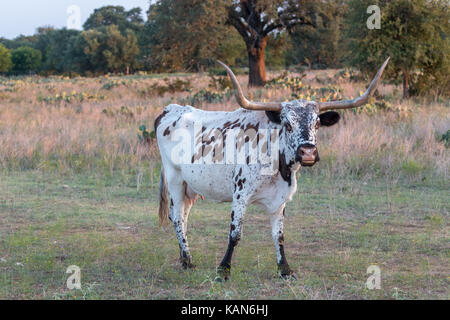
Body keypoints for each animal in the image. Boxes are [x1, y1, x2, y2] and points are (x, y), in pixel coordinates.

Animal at [156, 57, 390, 280]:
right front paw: (223, 269)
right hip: (175, 179)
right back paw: (188, 261)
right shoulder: (240, 193)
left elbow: (279, 235)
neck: (278, 165)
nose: (307, 152)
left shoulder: (281, 198)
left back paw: (184, 258)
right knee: (177, 217)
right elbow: (235, 233)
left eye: (316, 124)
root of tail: (171, 109)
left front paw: (285, 269)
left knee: (182, 216)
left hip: (190, 187)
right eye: (287, 124)